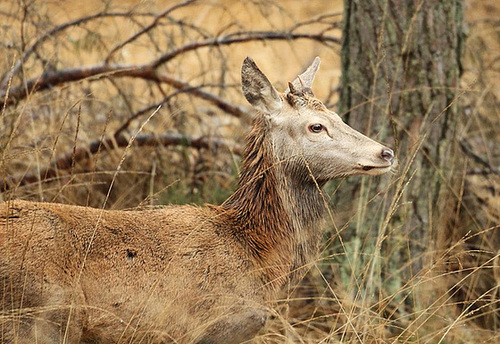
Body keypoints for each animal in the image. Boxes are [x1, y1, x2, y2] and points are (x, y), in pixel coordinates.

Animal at [0, 56, 394, 342]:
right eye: (316, 126)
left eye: (339, 116)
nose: (386, 152)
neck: (255, 250)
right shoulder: (205, 328)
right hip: (35, 319)